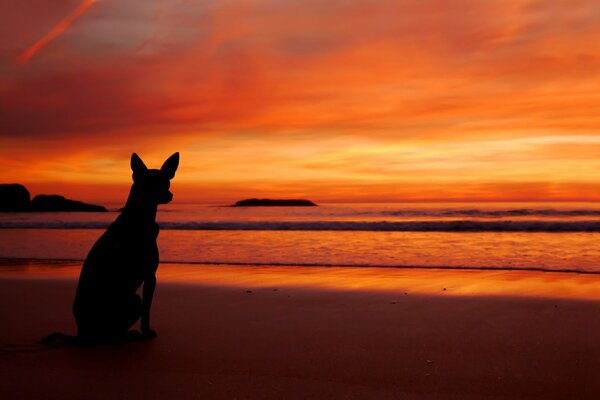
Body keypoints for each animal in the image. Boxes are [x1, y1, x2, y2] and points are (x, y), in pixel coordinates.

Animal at [42, 153, 178, 344]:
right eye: (151, 183)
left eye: (167, 183)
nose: (169, 194)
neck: (139, 218)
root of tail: (81, 334)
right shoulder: (150, 276)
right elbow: (147, 310)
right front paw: (146, 331)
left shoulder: (150, 276)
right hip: (134, 300)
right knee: (111, 332)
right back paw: (128, 335)